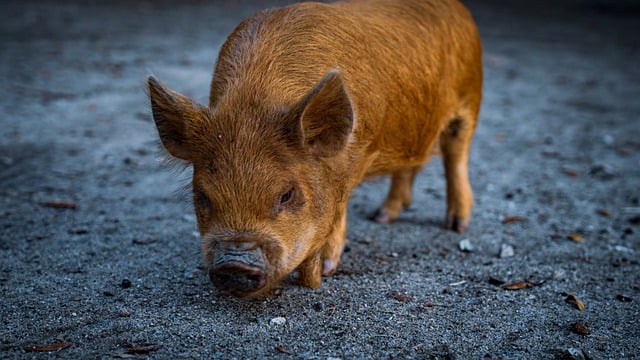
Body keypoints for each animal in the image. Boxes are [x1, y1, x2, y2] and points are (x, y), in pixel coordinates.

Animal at [149, 0, 480, 298]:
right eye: (202, 196)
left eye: (286, 195)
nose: (234, 265)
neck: (256, 103)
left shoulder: (361, 152)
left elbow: (339, 206)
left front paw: (325, 270)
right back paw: (381, 217)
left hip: (470, 100)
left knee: (456, 156)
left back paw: (457, 227)